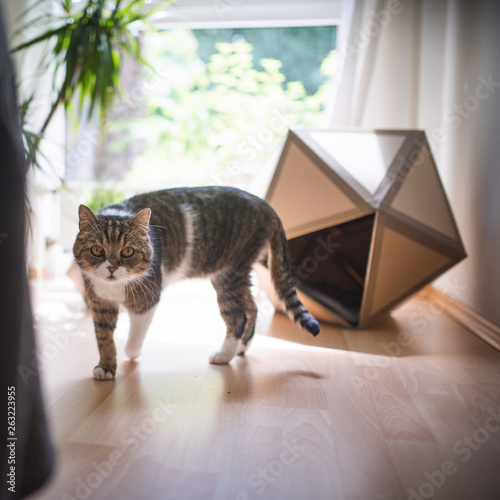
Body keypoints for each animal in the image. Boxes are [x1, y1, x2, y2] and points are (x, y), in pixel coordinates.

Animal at [73, 187, 322, 378]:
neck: (113, 287)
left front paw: (131, 353)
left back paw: (224, 355)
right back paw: (242, 347)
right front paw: (105, 367)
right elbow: (104, 338)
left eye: (127, 252)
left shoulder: (148, 300)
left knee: (238, 316)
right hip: (238, 275)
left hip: (228, 274)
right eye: (97, 250)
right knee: (252, 307)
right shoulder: (100, 305)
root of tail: (264, 204)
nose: (112, 268)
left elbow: (135, 337)